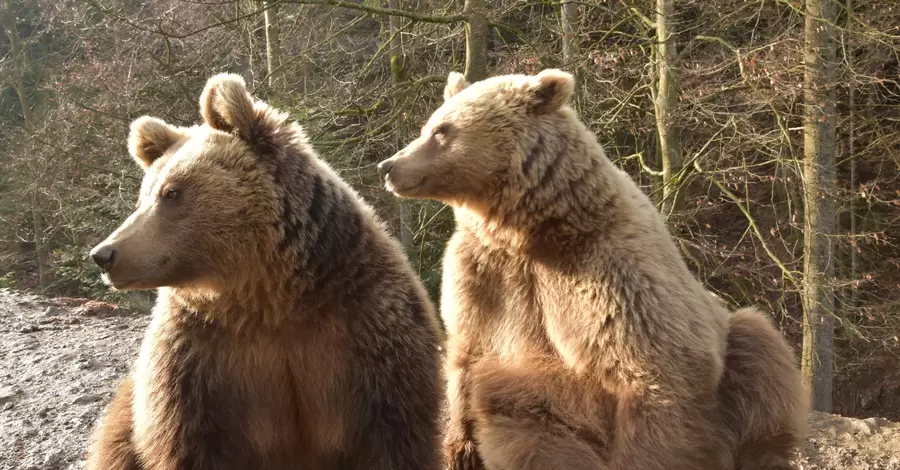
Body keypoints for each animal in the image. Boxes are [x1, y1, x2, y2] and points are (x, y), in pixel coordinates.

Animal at [86, 73, 444, 470]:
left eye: (171, 193)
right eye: (143, 197)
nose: (104, 254)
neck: (270, 294)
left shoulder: (367, 333)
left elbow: (394, 436)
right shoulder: (198, 362)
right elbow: (189, 442)